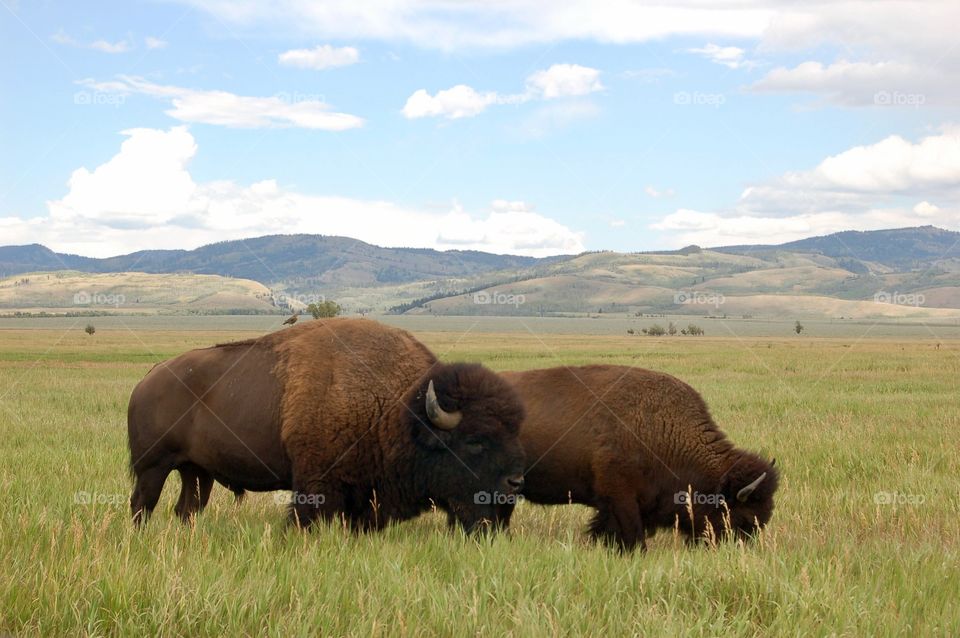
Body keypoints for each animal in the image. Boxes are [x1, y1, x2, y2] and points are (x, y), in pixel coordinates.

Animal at [127, 318, 526, 532]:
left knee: (187, 508)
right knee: (142, 504)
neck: (398, 409)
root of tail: (149, 378)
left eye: (513, 432)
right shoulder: (315, 486)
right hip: (153, 467)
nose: (515, 482)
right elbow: (305, 518)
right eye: (474, 441)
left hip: (196, 472)